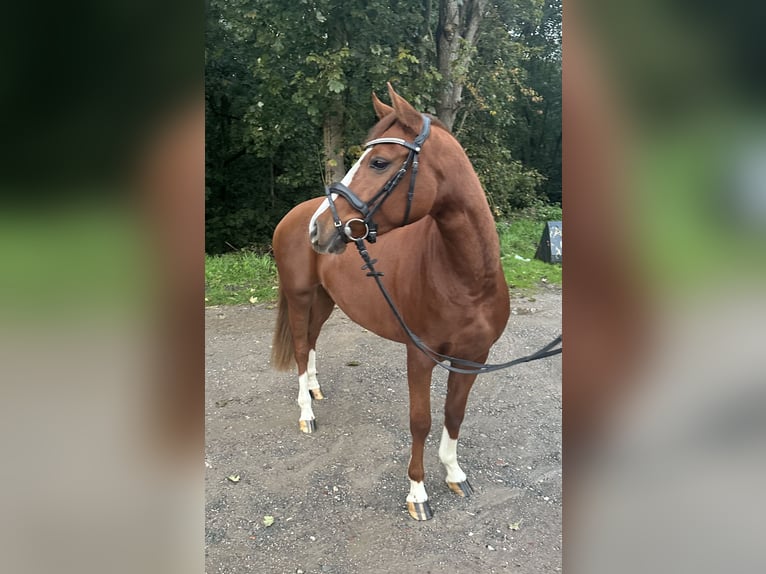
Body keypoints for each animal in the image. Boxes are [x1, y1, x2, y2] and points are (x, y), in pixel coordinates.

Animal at [272, 84, 512, 520]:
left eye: (380, 162)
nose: (320, 228)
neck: (466, 279)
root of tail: (294, 216)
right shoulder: (420, 355)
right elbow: (421, 420)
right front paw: (417, 494)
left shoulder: (473, 358)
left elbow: (454, 413)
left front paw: (455, 473)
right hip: (299, 296)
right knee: (299, 347)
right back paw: (306, 413)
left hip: (325, 300)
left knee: (311, 340)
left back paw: (314, 390)